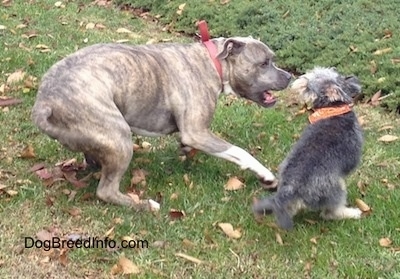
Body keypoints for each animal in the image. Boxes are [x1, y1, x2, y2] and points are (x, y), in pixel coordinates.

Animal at [32, 35, 290, 210]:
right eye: (264, 63)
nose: (289, 76)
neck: (213, 63)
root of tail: (45, 101)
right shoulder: (197, 132)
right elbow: (240, 152)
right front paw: (266, 176)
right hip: (119, 136)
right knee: (106, 191)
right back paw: (145, 205)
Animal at [255, 67, 364, 230]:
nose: (300, 78)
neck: (332, 109)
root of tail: (290, 188)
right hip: (336, 187)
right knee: (329, 213)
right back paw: (351, 213)